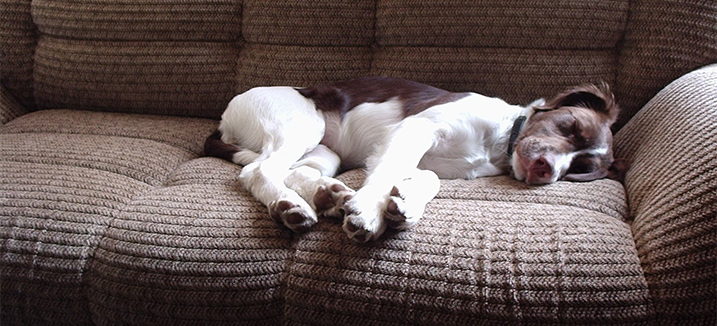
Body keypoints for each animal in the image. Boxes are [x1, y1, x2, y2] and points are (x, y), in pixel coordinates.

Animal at [203, 77, 628, 242]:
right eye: (570, 126)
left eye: (579, 170)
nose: (546, 170)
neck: (498, 140)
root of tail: (224, 118)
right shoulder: (416, 129)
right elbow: (386, 171)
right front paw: (370, 214)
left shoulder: (434, 162)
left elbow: (428, 180)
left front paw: (403, 206)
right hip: (302, 121)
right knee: (258, 169)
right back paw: (290, 206)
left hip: (325, 152)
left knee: (291, 170)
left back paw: (327, 195)